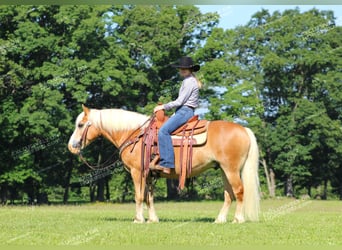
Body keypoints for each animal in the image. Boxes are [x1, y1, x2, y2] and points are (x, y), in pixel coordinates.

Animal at [67, 104, 260, 224]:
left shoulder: (137, 172)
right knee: (229, 195)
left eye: (80, 124)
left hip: (231, 170)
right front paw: (152, 219)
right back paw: (219, 220)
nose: (72, 146)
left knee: (239, 191)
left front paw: (138, 219)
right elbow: (148, 197)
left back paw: (238, 219)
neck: (134, 134)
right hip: (223, 170)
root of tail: (243, 129)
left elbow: (138, 196)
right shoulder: (148, 174)